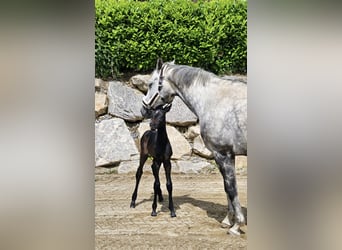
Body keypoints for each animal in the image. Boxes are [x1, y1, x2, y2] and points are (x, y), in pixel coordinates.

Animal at [140, 59, 247, 235]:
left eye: (150, 84)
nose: (143, 109)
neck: (214, 101)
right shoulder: (227, 156)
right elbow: (228, 189)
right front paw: (227, 221)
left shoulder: (221, 154)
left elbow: (231, 188)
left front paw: (236, 225)